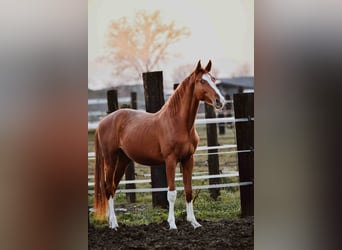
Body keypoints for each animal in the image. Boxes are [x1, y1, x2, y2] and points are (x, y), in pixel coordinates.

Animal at [95, 60, 226, 229]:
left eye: (214, 79)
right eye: (201, 81)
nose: (220, 101)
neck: (178, 123)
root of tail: (103, 121)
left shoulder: (188, 159)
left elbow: (189, 191)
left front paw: (194, 222)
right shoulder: (170, 161)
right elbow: (171, 193)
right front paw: (172, 224)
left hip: (123, 160)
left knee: (112, 187)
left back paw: (112, 221)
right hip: (110, 160)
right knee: (108, 188)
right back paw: (114, 225)